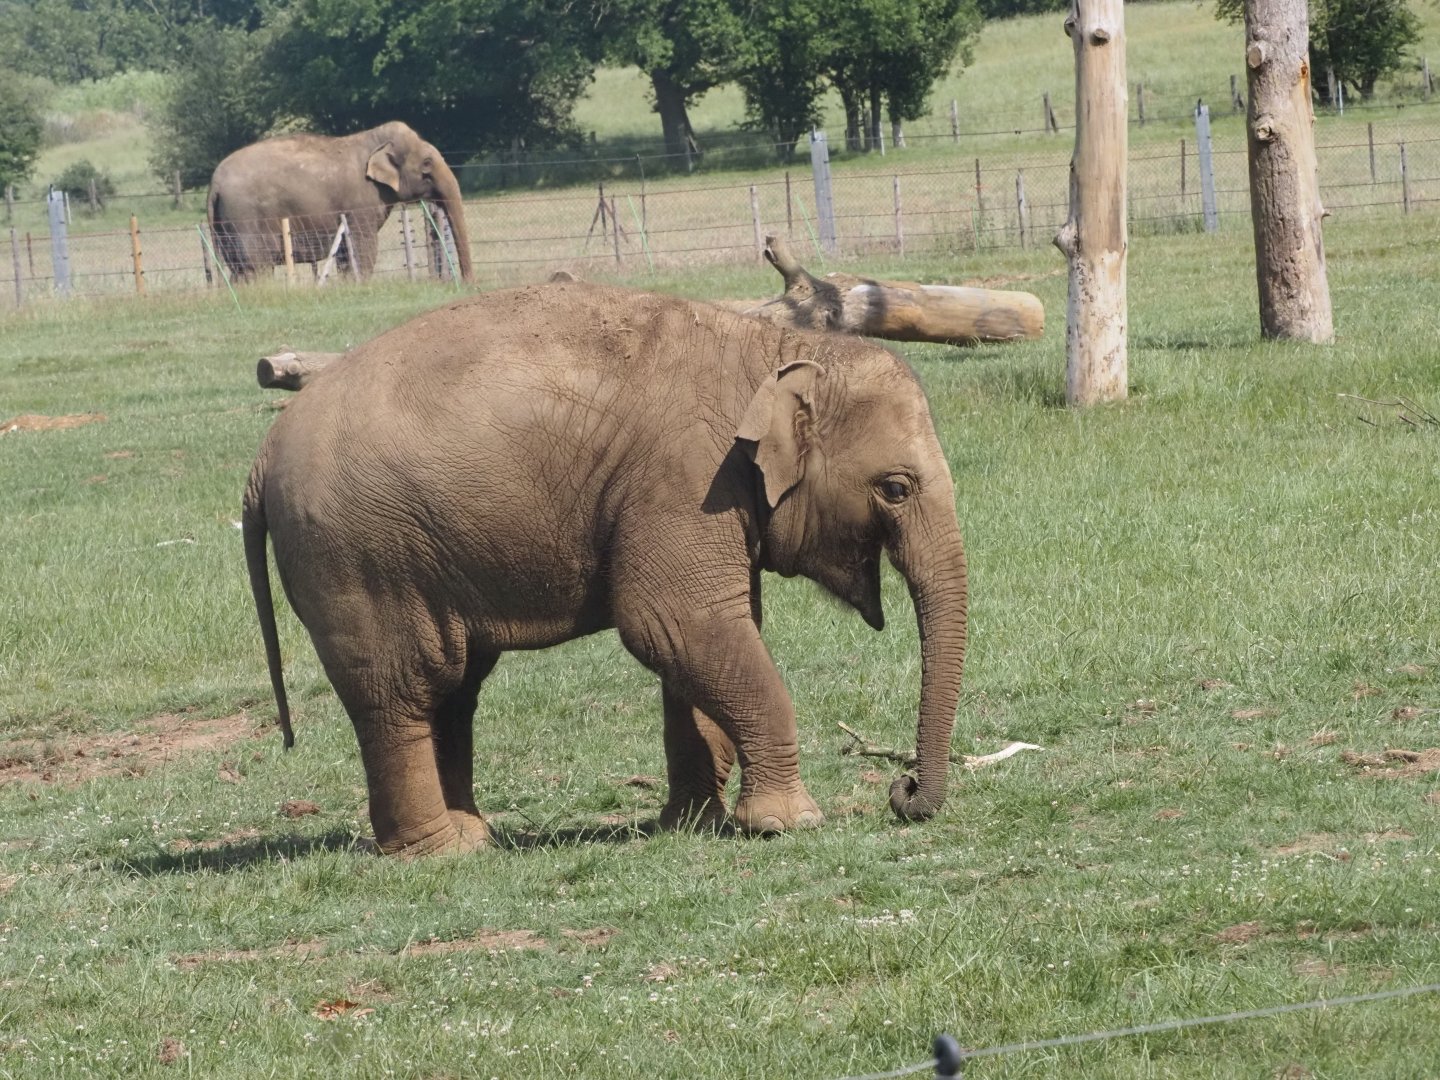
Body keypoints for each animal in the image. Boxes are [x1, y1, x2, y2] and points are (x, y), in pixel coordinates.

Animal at [207, 121, 473, 284]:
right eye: (427, 164)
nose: (469, 283)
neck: (373, 141)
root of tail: (214, 183)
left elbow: (347, 251)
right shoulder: (360, 202)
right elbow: (363, 245)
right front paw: (361, 285)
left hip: (226, 224)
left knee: (239, 271)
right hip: (246, 219)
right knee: (256, 268)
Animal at [243, 282, 968, 856]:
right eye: (895, 488)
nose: (903, 791)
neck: (769, 349)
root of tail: (262, 456)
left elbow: (707, 639)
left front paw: (694, 825)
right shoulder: (684, 479)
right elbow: (676, 625)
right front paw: (787, 824)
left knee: (453, 687)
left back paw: (473, 838)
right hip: (359, 557)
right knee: (401, 689)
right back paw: (440, 852)